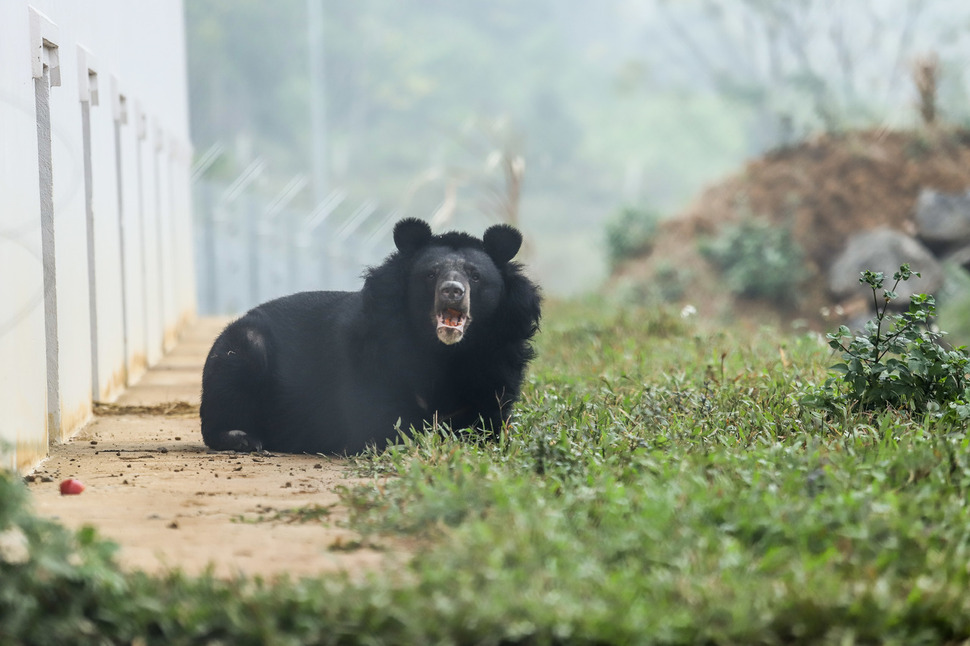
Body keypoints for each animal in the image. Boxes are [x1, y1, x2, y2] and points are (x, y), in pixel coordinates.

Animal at [199, 218, 540, 456]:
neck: (446, 352)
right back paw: (243, 438)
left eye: (475, 276)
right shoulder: (377, 355)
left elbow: (489, 419)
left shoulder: (498, 357)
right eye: (430, 274)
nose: (452, 291)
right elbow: (383, 422)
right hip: (240, 348)